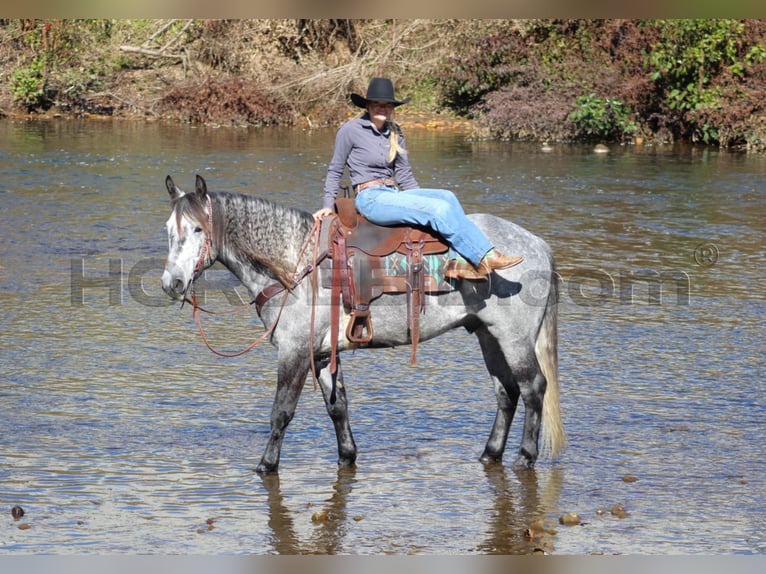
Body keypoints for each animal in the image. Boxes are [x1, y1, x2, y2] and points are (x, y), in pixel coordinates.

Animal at [160, 176, 564, 476]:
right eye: (168, 229)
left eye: (197, 229)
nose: (172, 284)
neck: (295, 264)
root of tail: (537, 245)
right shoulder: (322, 355)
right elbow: (338, 407)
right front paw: (347, 455)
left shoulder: (294, 352)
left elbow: (282, 411)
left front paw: (266, 465)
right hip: (487, 335)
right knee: (505, 392)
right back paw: (489, 453)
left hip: (514, 338)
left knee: (532, 388)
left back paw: (525, 457)